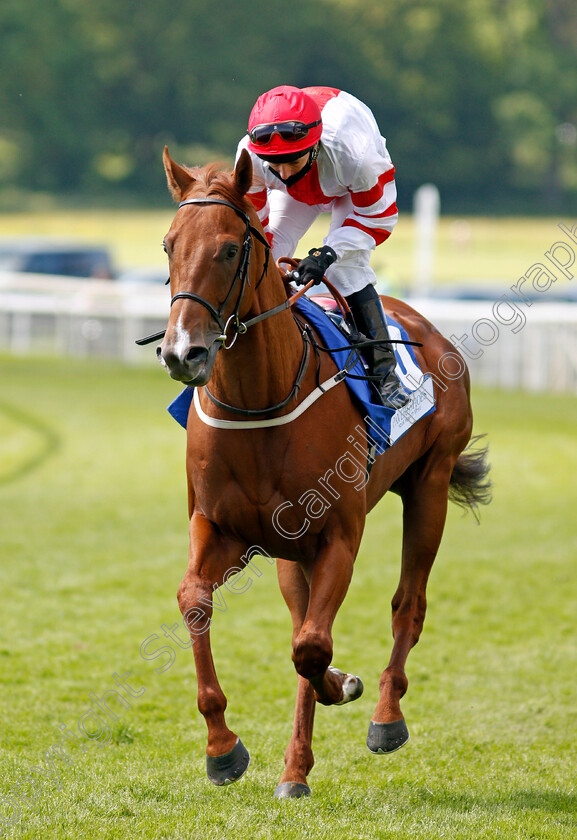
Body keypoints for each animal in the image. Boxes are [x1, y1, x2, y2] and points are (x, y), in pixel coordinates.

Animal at [155, 148, 488, 796]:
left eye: (229, 249)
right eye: (168, 245)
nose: (183, 353)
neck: (261, 402)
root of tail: (428, 329)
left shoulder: (338, 534)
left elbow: (311, 646)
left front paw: (346, 689)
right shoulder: (223, 529)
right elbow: (199, 603)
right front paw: (222, 748)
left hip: (430, 485)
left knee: (407, 603)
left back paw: (384, 715)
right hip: (291, 551)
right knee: (305, 622)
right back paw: (296, 768)